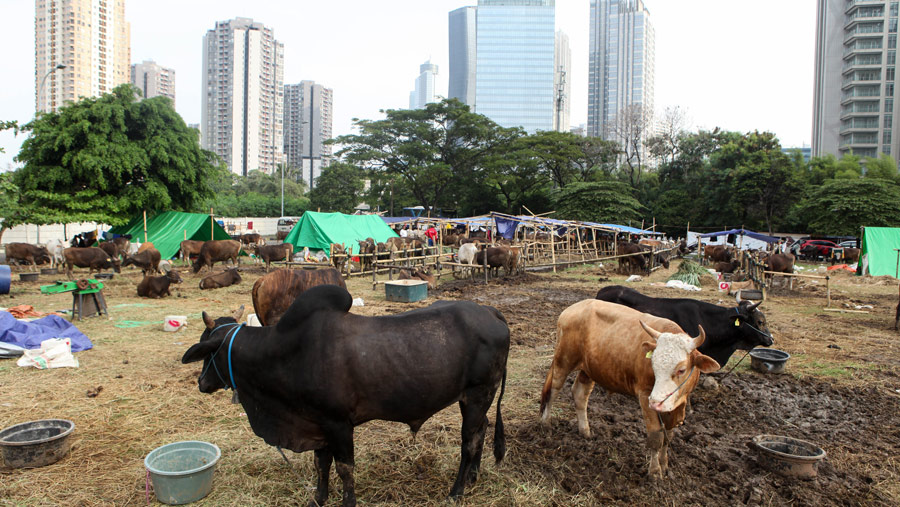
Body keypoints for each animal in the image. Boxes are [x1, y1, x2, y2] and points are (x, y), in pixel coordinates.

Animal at [183, 286, 506, 507]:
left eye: (207, 349)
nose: (201, 382)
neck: (284, 352)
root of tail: (491, 312)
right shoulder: (318, 424)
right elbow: (321, 464)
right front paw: (318, 497)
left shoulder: (338, 424)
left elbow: (344, 468)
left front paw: (347, 501)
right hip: (475, 400)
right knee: (482, 430)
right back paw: (473, 477)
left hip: (479, 393)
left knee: (469, 442)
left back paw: (457, 490)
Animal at [536, 300, 720, 482]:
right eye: (653, 365)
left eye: (681, 370)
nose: (656, 402)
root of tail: (572, 309)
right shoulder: (645, 395)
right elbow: (656, 436)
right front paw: (655, 472)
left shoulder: (675, 407)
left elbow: (668, 436)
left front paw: (664, 464)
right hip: (563, 361)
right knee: (553, 390)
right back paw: (546, 423)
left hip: (588, 370)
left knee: (580, 395)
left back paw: (585, 431)